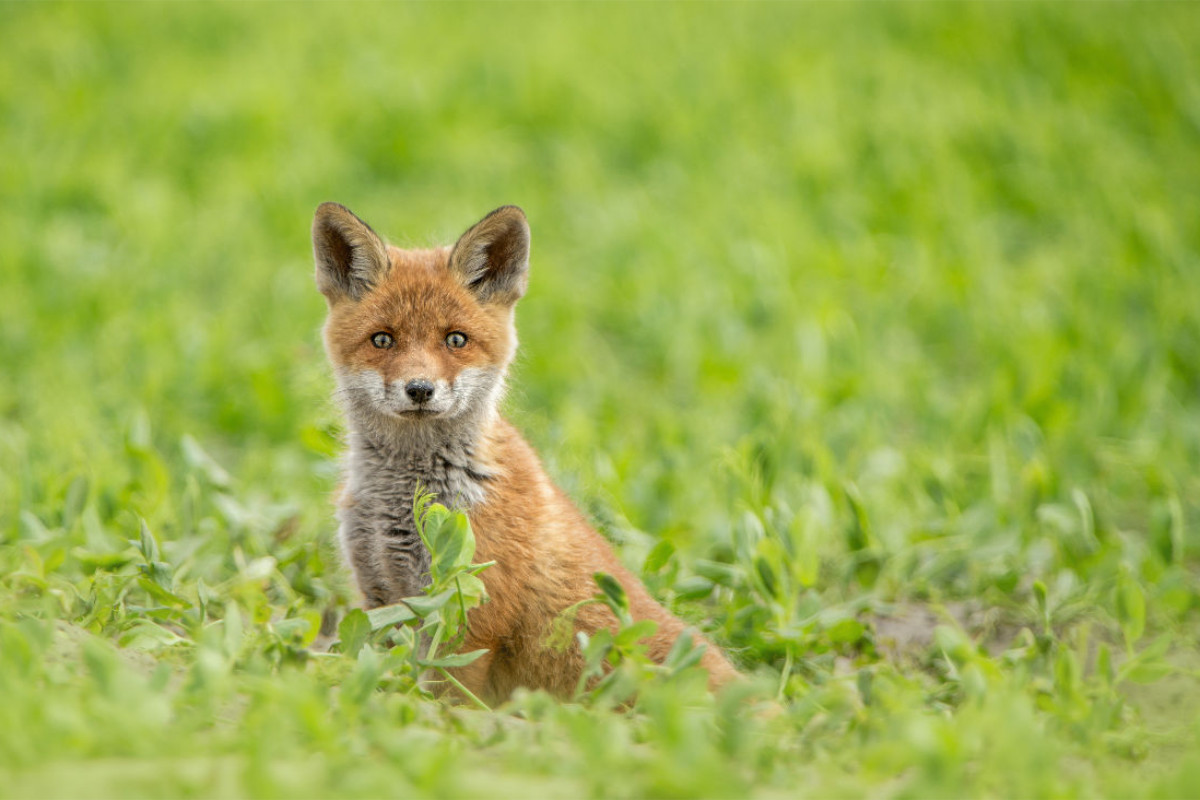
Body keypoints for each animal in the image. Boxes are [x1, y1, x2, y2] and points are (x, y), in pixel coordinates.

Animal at [314, 203, 734, 705]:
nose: (419, 389)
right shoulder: (381, 596)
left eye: (455, 340)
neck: (402, 495)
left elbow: (446, 700)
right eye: (382, 340)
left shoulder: (469, 614)